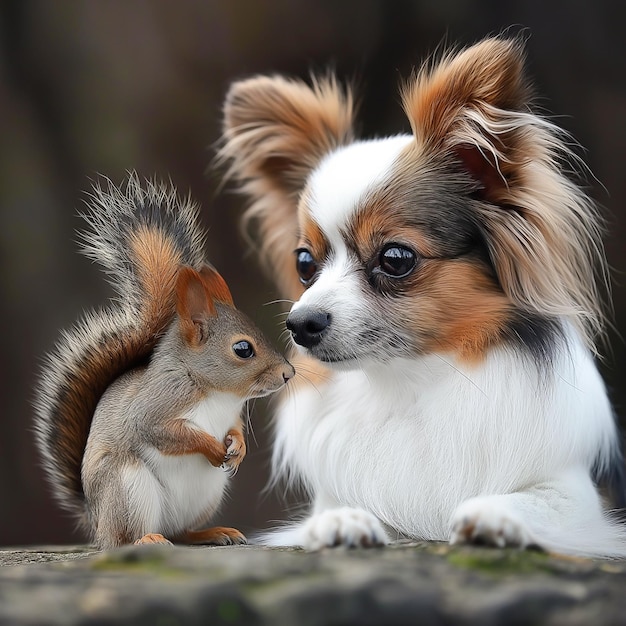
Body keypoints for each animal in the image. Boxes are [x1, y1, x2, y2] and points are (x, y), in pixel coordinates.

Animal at [34, 172, 294, 544]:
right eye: (243, 349)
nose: (289, 373)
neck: (215, 391)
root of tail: (96, 522)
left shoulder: (231, 415)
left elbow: (235, 429)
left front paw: (239, 448)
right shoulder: (155, 408)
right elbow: (165, 432)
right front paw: (213, 448)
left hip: (206, 495)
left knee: (182, 532)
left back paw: (212, 532)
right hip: (127, 488)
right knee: (125, 539)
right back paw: (146, 539)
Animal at [219, 36, 624, 556]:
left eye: (396, 259)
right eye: (304, 264)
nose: (300, 324)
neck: (409, 381)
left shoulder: (581, 501)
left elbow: (541, 502)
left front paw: (495, 514)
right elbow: (339, 509)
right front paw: (341, 522)